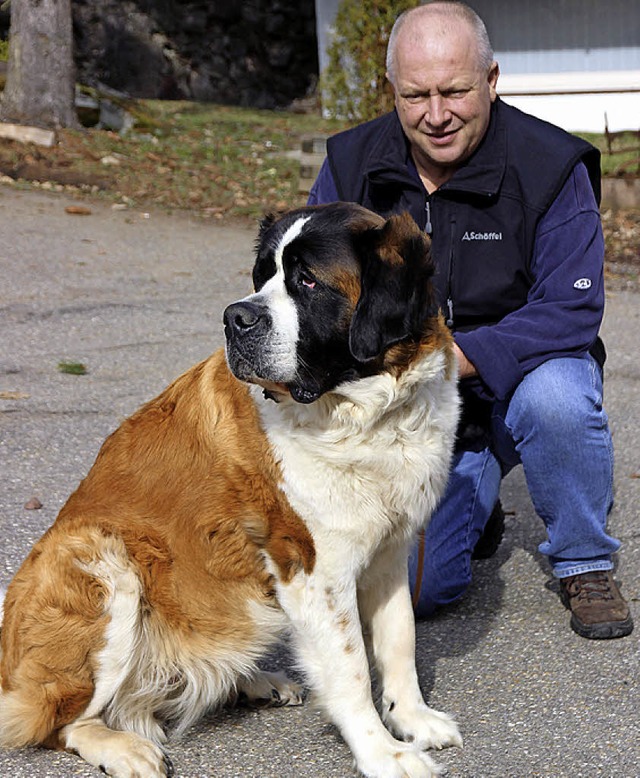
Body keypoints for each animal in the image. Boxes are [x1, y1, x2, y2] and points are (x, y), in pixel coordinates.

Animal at [0, 203, 462, 772]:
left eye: (307, 280)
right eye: (261, 277)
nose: (236, 317)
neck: (366, 414)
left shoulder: (392, 549)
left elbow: (400, 638)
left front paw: (413, 720)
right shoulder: (315, 571)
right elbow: (351, 666)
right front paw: (383, 754)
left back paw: (254, 682)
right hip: (104, 560)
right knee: (59, 719)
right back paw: (124, 748)